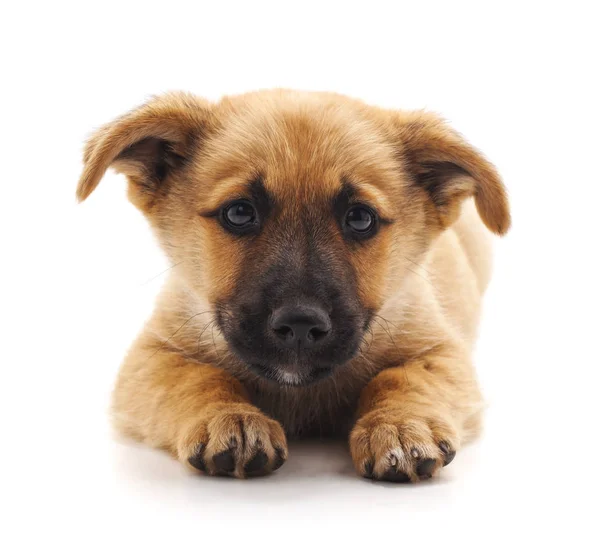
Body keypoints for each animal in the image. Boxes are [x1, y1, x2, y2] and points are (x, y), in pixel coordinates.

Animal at [78, 90, 510, 484]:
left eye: (360, 218)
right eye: (239, 212)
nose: (300, 324)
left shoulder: (441, 351)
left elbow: (403, 378)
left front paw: (400, 425)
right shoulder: (150, 356)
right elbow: (198, 378)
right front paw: (230, 418)